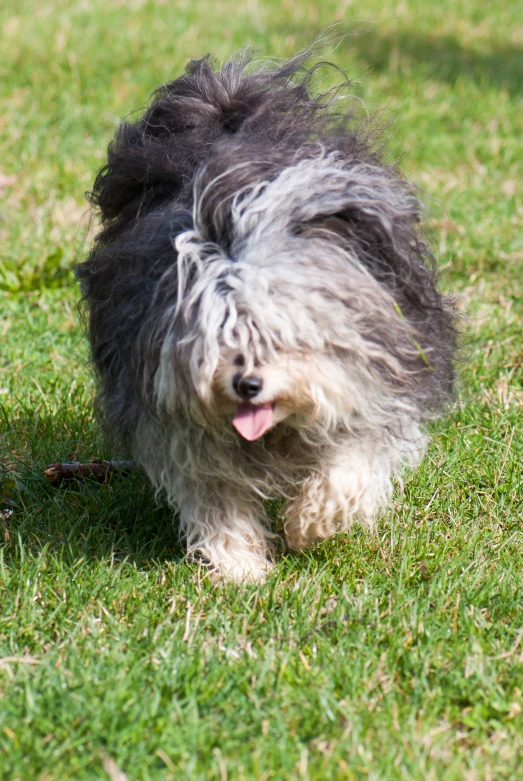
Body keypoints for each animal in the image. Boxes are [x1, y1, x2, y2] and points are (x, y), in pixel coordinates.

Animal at [75, 42, 456, 580]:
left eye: (279, 335)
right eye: (221, 338)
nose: (247, 385)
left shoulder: (381, 382)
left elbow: (351, 464)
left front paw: (310, 522)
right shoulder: (177, 425)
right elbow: (217, 498)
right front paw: (241, 568)